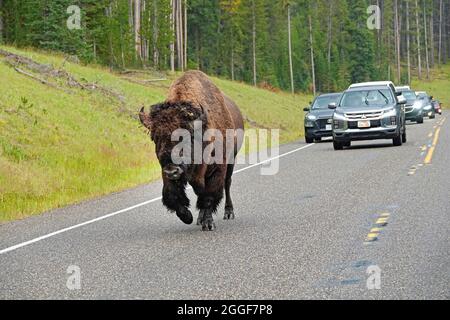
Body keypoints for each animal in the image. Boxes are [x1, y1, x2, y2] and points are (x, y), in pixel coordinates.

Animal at [141, 70, 246, 230]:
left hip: (231, 160)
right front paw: (188, 217)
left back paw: (228, 213)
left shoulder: (217, 169)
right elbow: (173, 195)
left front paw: (208, 223)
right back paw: (199, 218)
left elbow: (209, 195)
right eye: (155, 137)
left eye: (187, 136)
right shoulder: (169, 173)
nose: (172, 170)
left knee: (227, 184)